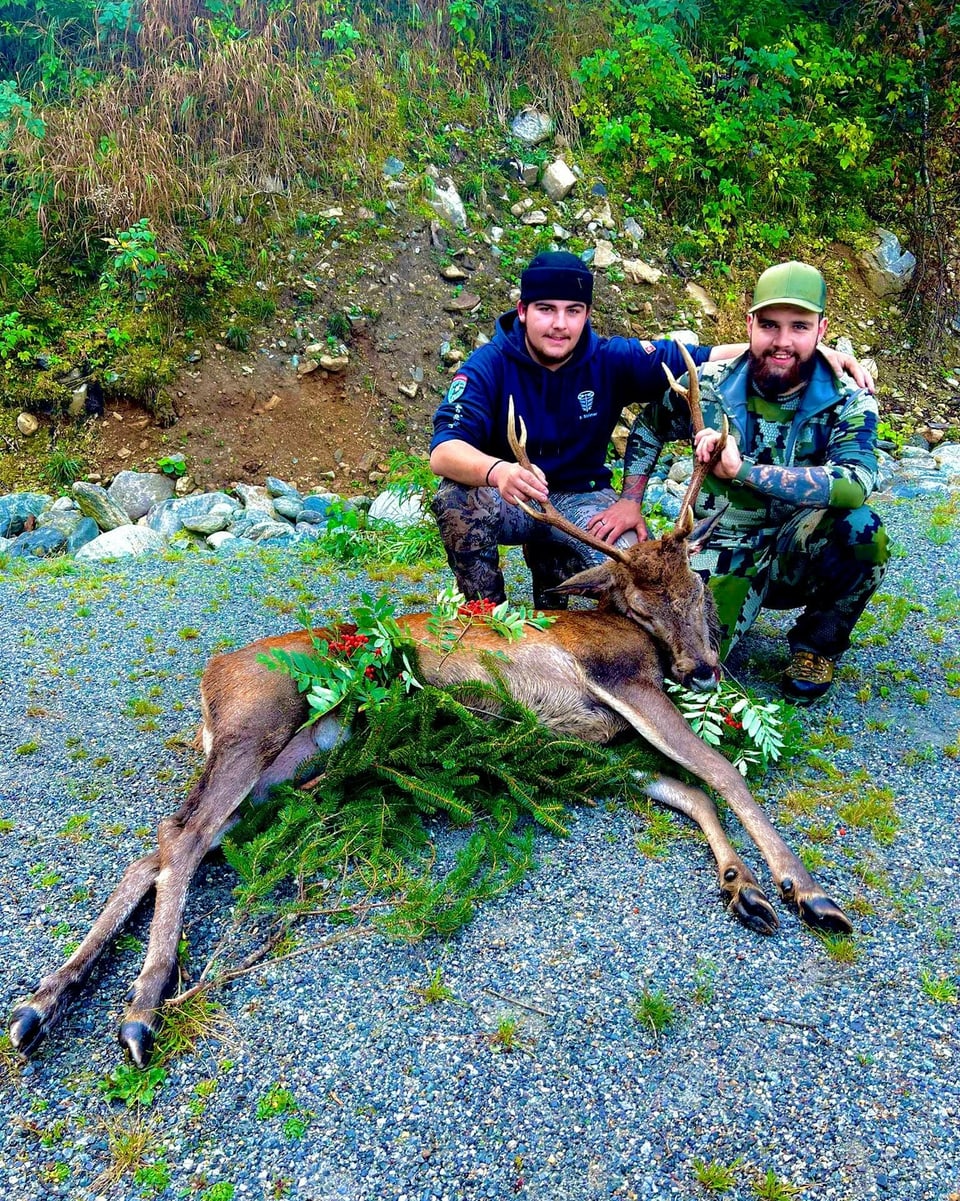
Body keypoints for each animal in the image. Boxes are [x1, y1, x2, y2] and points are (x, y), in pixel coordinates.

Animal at [5, 343, 850, 1066]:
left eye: (697, 586)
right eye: (640, 600)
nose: (704, 668)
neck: (629, 639)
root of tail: (210, 678)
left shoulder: (587, 741)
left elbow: (689, 788)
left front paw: (744, 888)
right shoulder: (619, 677)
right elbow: (721, 772)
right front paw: (807, 891)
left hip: (294, 761)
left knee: (162, 844)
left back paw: (43, 1002)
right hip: (259, 720)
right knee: (180, 836)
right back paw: (141, 1008)